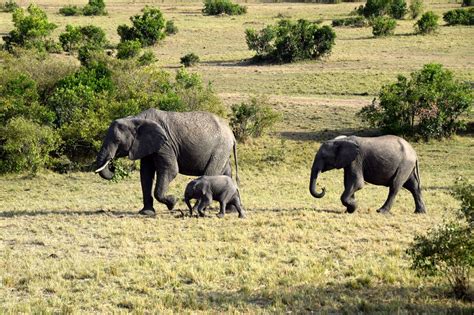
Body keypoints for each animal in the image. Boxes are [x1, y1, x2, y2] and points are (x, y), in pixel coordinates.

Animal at [95, 109, 239, 217]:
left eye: (117, 141)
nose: (112, 165)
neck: (135, 119)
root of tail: (232, 134)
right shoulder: (147, 145)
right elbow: (145, 174)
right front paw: (146, 213)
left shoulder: (165, 144)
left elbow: (170, 169)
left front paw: (172, 203)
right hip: (223, 151)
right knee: (226, 173)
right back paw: (230, 211)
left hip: (220, 149)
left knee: (211, 173)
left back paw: (197, 210)